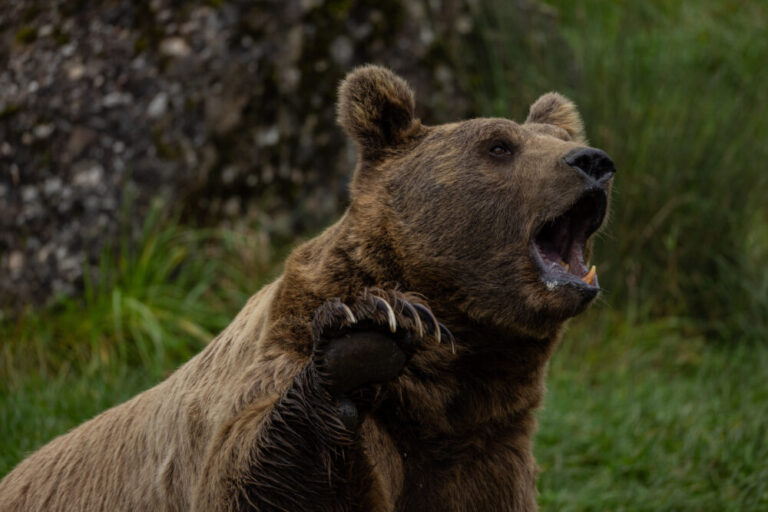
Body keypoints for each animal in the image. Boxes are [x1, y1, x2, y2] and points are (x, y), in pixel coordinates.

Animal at [0, 65, 615, 511]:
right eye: (498, 145)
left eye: (560, 135)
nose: (594, 161)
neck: (446, 388)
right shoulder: (272, 377)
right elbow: (270, 478)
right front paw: (367, 335)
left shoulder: (486, 452)